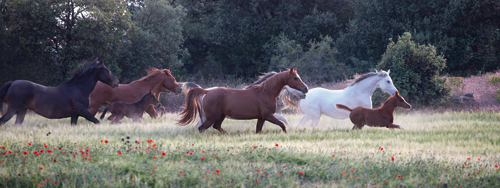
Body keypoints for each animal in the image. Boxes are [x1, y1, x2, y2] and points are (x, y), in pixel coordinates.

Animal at [178, 67, 306, 134]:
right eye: (295, 78)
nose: (305, 89)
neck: (265, 92)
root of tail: (206, 91)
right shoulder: (268, 115)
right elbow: (282, 124)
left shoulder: (261, 117)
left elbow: (258, 130)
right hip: (212, 116)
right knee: (202, 128)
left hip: (220, 116)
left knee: (215, 127)